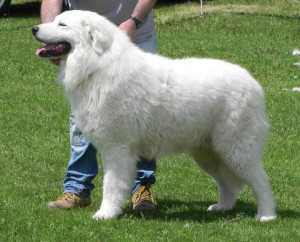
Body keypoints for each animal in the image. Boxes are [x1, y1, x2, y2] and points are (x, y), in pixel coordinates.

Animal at [32, 9, 276, 221]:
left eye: (62, 25)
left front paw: (106, 214)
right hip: (209, 153)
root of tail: (253, 83)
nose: (34, 28)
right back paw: (222, 207)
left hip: (236, 151)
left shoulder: (116, 149)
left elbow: (111, 185)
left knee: (262, 181)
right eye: (55, 20)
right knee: (227, 184)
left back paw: (266, 215)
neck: (97, 65)